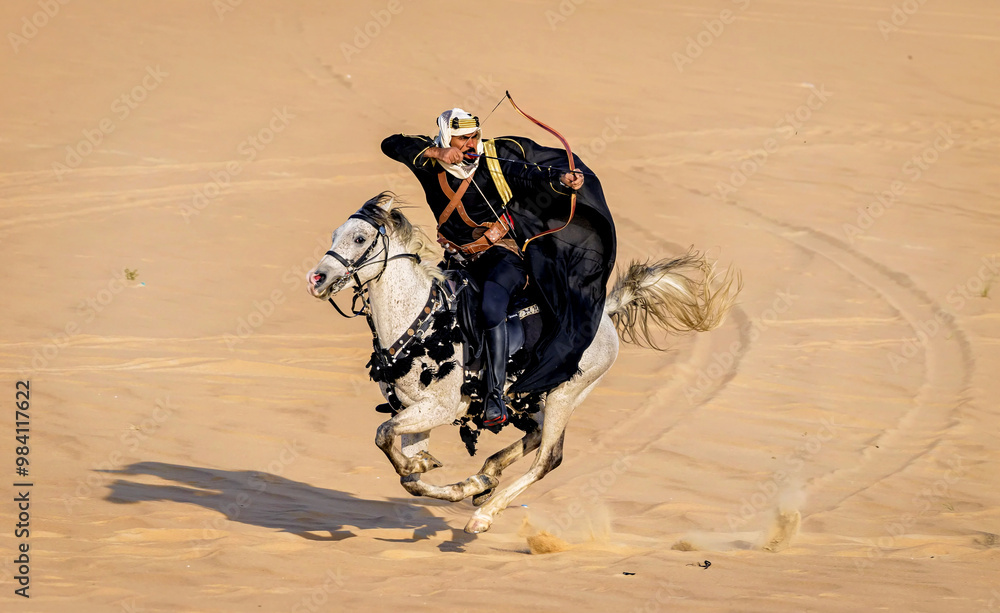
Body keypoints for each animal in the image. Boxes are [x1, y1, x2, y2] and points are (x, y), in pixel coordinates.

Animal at [306, 192, 739, 534]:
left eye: (359, 238)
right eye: (334, 236)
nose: (317, 278)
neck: (419, 316)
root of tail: (605, 313)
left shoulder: (437, 408)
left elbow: (384, 436)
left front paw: (433, 473)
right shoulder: (415, 411)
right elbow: (407, 471)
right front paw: (435, 472)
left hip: (565, 394)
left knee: (549, 458)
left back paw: (483, 514)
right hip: (530, 400)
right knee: (534, 436)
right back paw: (480, 481)